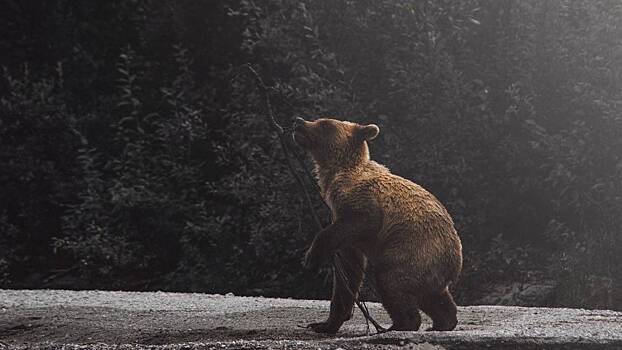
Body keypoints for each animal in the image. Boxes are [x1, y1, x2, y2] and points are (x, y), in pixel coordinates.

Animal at [294, 117, 466, 334]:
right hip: (429, 268)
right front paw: (324, 324)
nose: (299, 122)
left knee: (391, 281)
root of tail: (456, 262)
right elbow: (347, 273)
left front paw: (310, 257)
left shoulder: (361, 204)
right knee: (433, 296)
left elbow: (363, 221)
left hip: (413, 251)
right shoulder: (343, 228)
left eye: (324, 124)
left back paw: (400, 324)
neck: (336, 175)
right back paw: (442, 322)